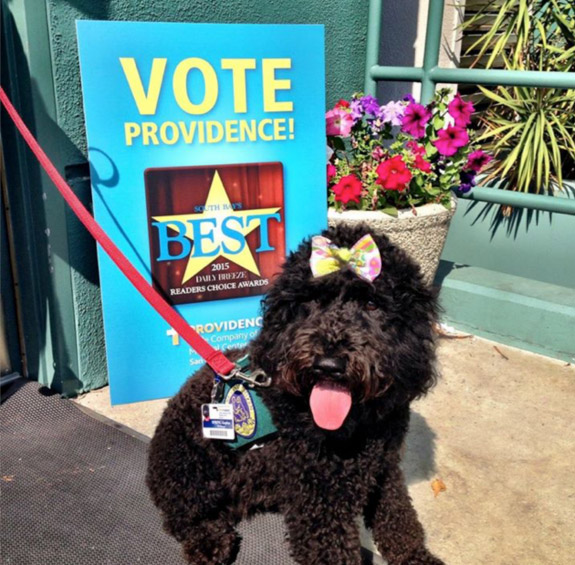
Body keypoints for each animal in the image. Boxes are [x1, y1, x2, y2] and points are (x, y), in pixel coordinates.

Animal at [146, 225, 444, 564]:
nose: (328, 365)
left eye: (372, 305)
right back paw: (208, 540)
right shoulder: (321, 497)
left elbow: (398, 516)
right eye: (311, 301)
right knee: (181, 515)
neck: (357, 420)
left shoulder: (385, 465)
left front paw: (415, 555)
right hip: (188, 472)